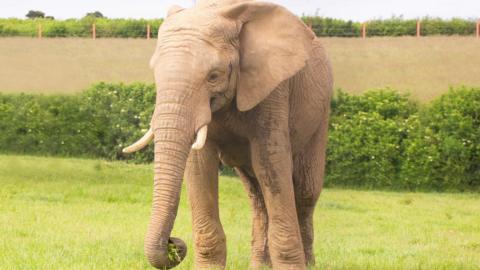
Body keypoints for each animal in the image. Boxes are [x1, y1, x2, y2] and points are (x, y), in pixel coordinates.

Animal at [123, 1, 334, 268]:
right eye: (154, 74)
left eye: (213, 76)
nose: (174, 243)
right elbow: (200, 166)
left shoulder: (273, 88)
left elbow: (271, 162)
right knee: (256, 195)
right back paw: (260, 265)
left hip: (321, 113)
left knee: (306, 191)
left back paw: (307, 263)